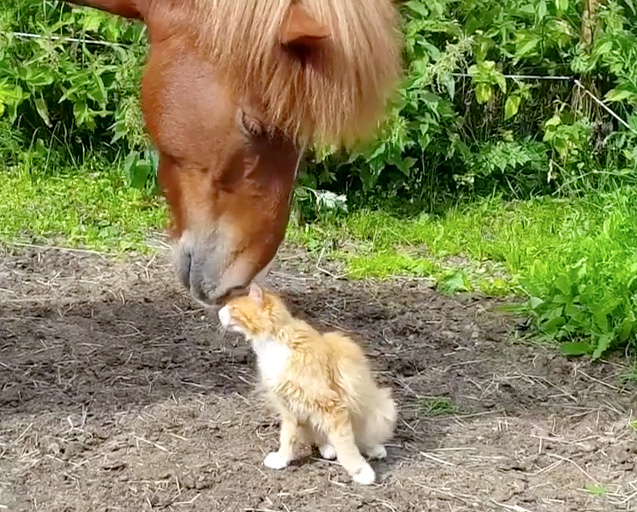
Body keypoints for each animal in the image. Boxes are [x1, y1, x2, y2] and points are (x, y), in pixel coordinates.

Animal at [220, 282, 398, 486]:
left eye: (233, 308)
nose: (219, 313)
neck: (273, 344)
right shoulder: (290, 407)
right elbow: (287, 437)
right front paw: (282, 459)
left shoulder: (330, 405)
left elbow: (346, 444)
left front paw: (360, 471)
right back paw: (328, 448)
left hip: (381, 407)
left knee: (363, 436)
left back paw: (374, 449)